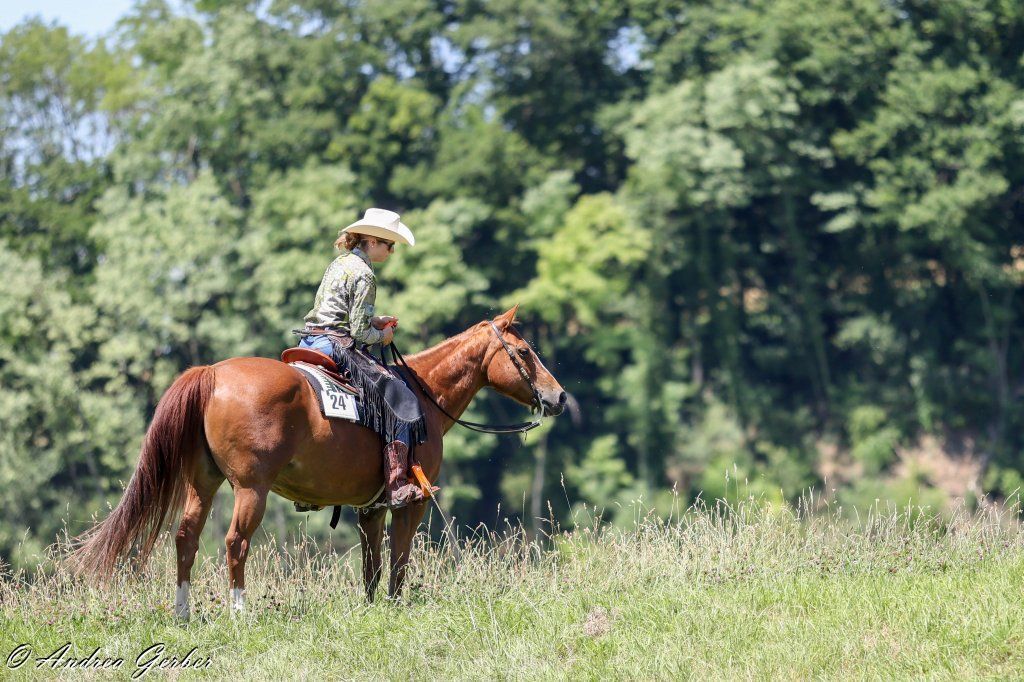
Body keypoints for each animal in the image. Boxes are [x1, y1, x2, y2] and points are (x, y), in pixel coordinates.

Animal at [71, 305, 566, 618]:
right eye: (524, 352)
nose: (559, 396)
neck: (426, 396)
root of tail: (211, 374)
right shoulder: (412, 502)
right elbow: (400, 559)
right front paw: (396, 607)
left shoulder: (371, 507)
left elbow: (372, 564)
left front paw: (374, 609)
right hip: (251, 489)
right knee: (234, 543)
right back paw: (239, 612)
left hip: (202, 482)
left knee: (185, 538)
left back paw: (183, 613)